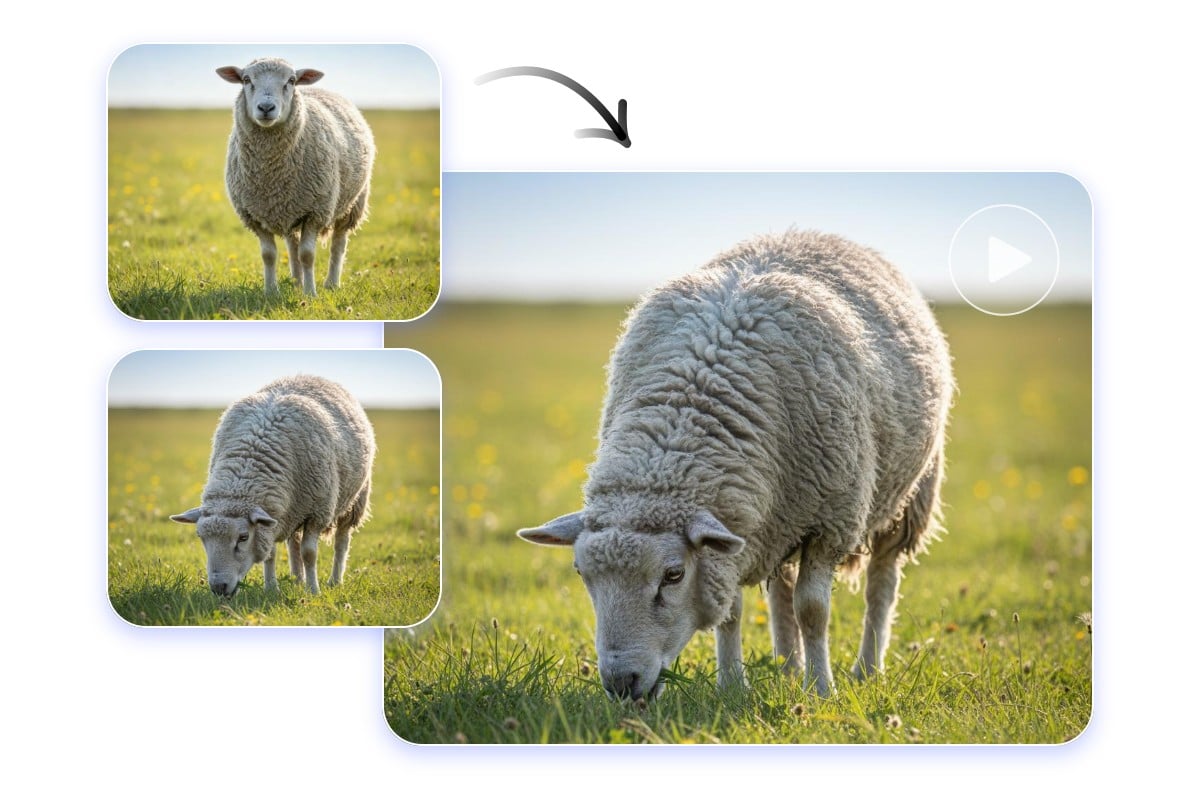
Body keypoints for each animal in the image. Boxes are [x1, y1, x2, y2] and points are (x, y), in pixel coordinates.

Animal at [171, 375, 375, 597]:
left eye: (243, 537)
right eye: (201, 537)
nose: (219, 588)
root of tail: (307, 375)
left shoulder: (317, 512)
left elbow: (309, 553)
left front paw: (313, 590)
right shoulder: (271, 517)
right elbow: (270, 553)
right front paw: (271, 588)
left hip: (354, 500)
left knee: (341, 541)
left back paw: (335, 580)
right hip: (294, 507)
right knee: (294, 543)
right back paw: (297, 579)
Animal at [216, 57, 376, 297]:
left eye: (291, 81)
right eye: (246, 79)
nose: (266, 108)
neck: (271, 173)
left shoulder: (315, 211)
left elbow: (307, 255)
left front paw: (310, 293)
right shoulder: (254, 214)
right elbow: (269, 255)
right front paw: (271, 292)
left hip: (353, 203)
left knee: (338, 243)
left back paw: (331, 283)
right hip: (289, 207)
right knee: (292, 244)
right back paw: (295, 280)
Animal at [518, 231, 954, 701]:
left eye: (673, 575)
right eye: (581, 573)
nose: (622, 684)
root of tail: (809, 232)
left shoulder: (830, 521)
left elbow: (813, 610)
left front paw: (822, 690)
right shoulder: (734, 532)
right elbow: (731, 610)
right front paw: (731, 685)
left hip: (909, 495)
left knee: (881, 582)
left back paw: (866, 669)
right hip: (779, 514)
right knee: (781, 590)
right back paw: (787, 668)